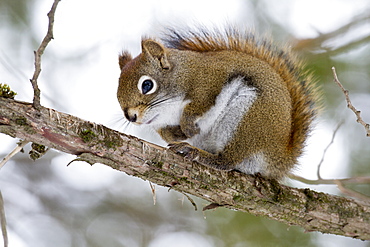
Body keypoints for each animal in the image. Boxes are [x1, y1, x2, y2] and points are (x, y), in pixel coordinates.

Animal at [116, 28, 318, 180]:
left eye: (147, 85)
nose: (131, 117)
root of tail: (279, 157)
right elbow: (166, 132)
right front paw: (177, 133)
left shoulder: (211, 79)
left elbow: (200, 103)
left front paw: (187, 125)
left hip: (249, 121)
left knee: (227, 161)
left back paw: (197, 153)